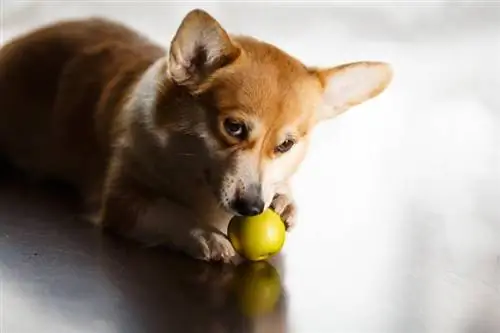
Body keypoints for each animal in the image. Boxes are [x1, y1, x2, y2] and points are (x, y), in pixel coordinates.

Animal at [0, 9, 390, 260]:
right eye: (234, 128)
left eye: (286, 144)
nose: (253, 208)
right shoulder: (122, 200)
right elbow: (170, 211)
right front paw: (203, 234)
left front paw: (284, 200)